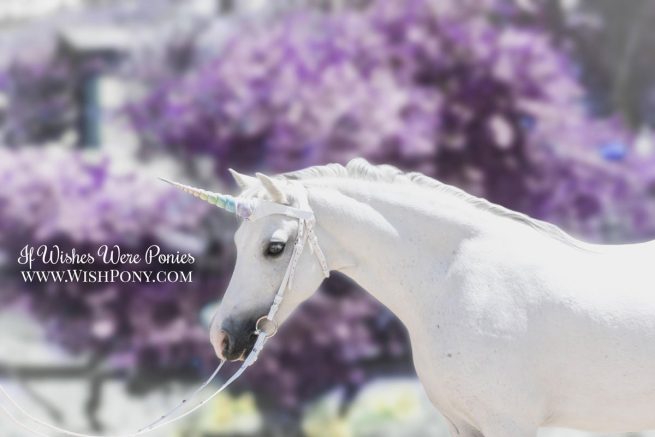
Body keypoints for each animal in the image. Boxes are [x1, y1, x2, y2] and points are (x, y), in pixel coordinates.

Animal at [192, 158, 655, 437]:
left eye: (274, 247)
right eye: (237, 242)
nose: (222, 337)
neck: (458, 281)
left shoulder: (509, 422)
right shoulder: (464, 425)